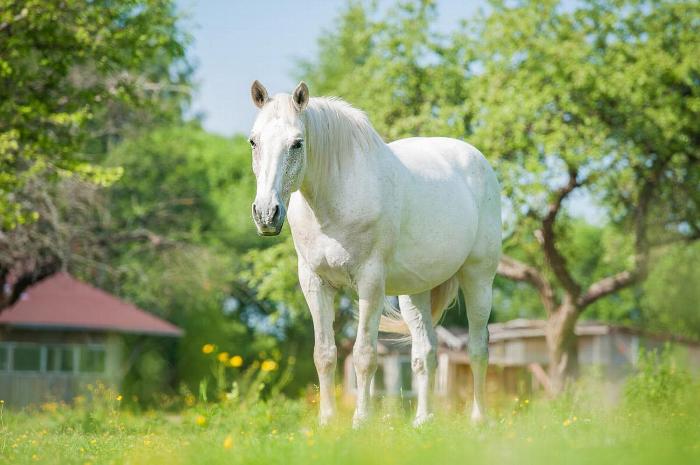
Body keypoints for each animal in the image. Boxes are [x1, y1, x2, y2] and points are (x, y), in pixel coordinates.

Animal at [249, 80, 500, 428]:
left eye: (297, 143)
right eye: (253, 141)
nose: (266, 214)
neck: (335, 199)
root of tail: (478, 162)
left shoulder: (369, 283)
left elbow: (364, 354)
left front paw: (360, 422)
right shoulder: (314, 283)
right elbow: (324, 354)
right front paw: (326, 422)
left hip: (478, 278)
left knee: (478, 348)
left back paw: (478, 419)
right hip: (415, 293)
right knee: (425, 353)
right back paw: (422, 420)